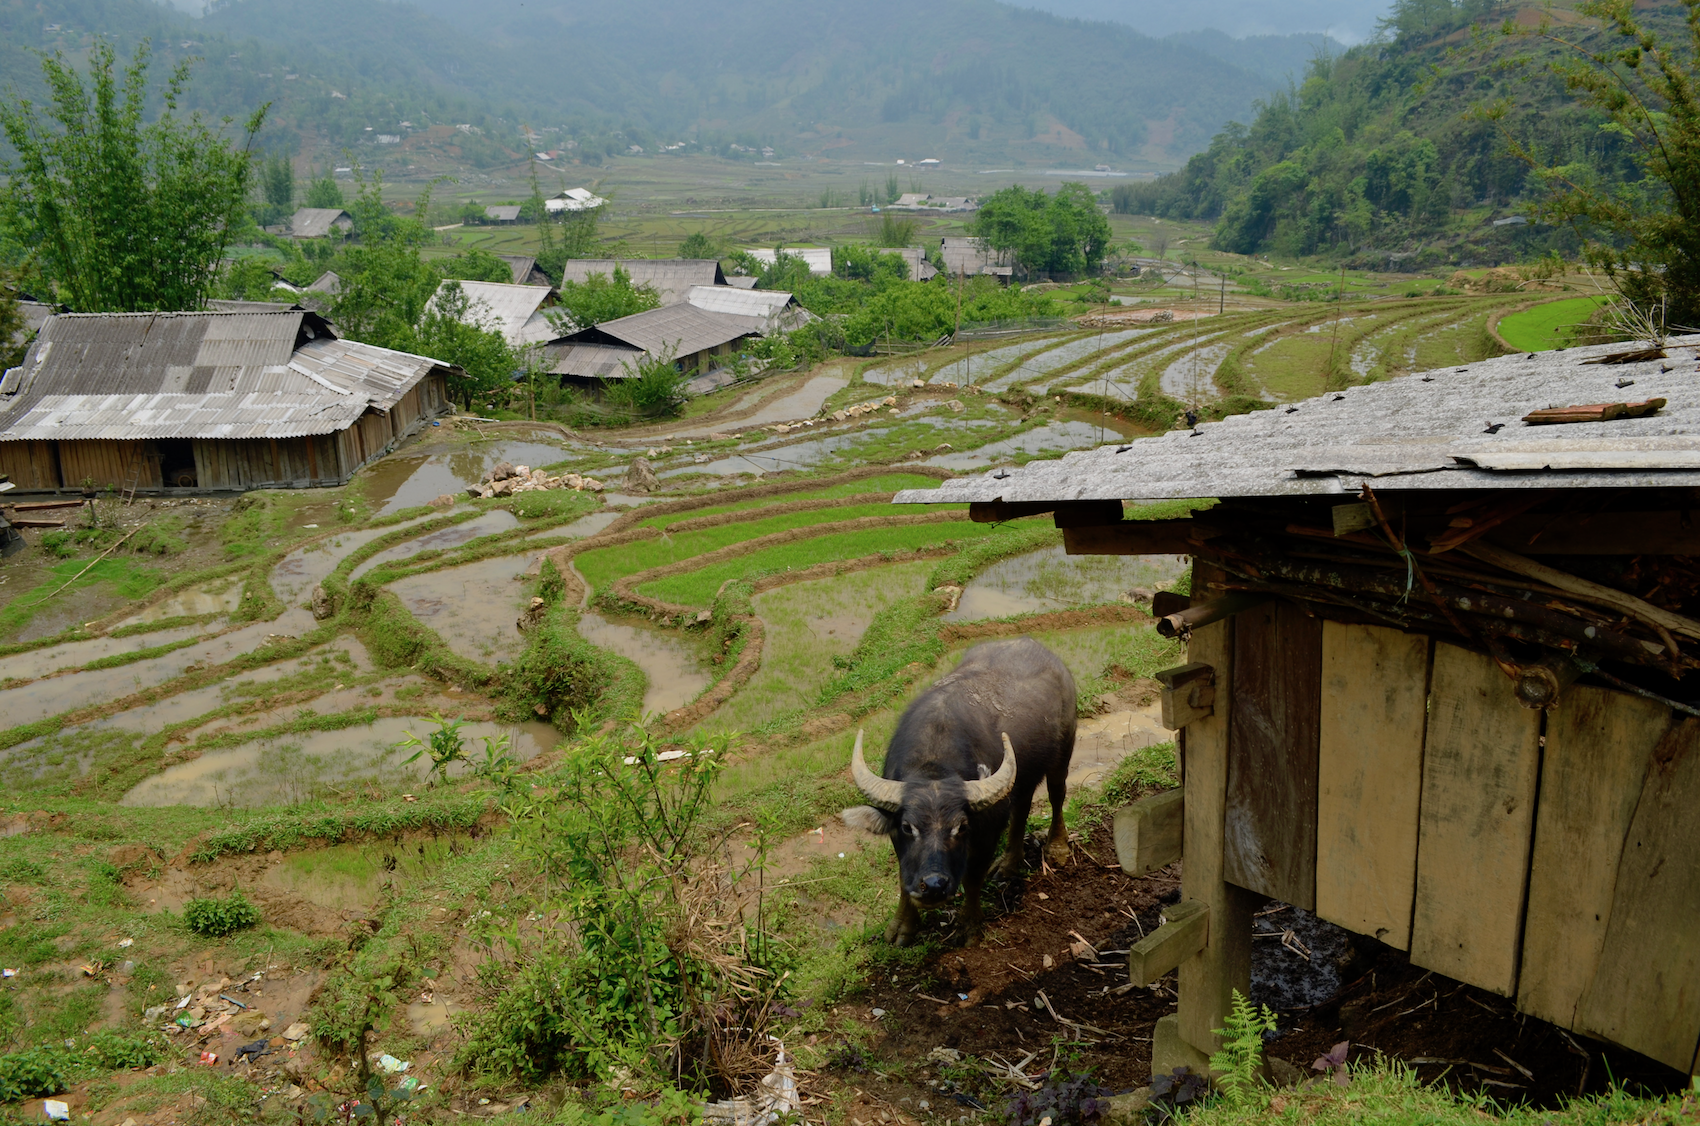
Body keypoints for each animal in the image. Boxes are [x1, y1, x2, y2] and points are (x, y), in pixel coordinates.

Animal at [839, 639, 1074, 945]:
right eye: (907, 827)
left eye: (960, 827)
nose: (934, 886)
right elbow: (903, 876)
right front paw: (903, 926)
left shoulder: (986, 831)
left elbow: (972, 876)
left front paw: (969, 925)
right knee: (1022, 808)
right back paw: (1008, 864)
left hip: (1064, 748)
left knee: (1057, 794)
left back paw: (1057, 848)